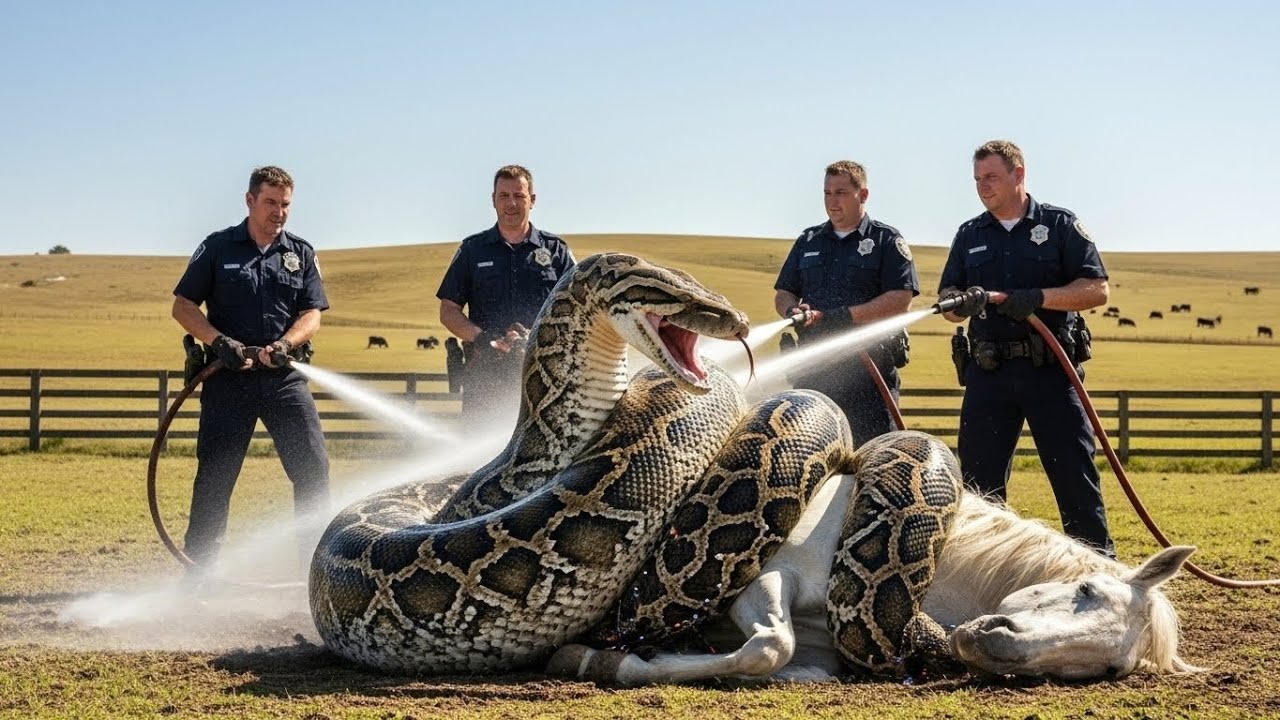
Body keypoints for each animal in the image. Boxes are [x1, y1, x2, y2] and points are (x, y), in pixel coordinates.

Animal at [550, 465, 1198, 685]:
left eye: (1107, 669)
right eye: (1085, 589)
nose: (994, 644)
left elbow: (790, 664)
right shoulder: (759, 581)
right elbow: (770, 644)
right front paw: (596, 659)